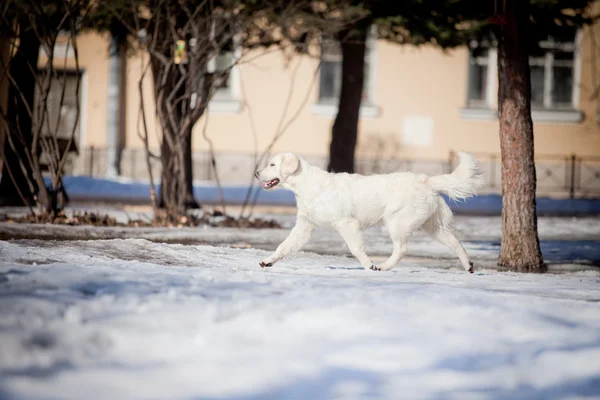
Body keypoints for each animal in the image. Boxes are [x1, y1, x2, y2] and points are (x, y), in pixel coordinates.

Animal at [255, 152, 486, 272]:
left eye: (272, 164)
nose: (256, 173)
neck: (307, 186)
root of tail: (427, 180)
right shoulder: (304, 225)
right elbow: (284, 246)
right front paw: (268, 261)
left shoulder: (346, 223)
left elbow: (356, 249)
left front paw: (369, 265)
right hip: (433, 226)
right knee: (455, 242)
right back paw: (468, 265)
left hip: (397, 222)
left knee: (402, 249)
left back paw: (383, 266)